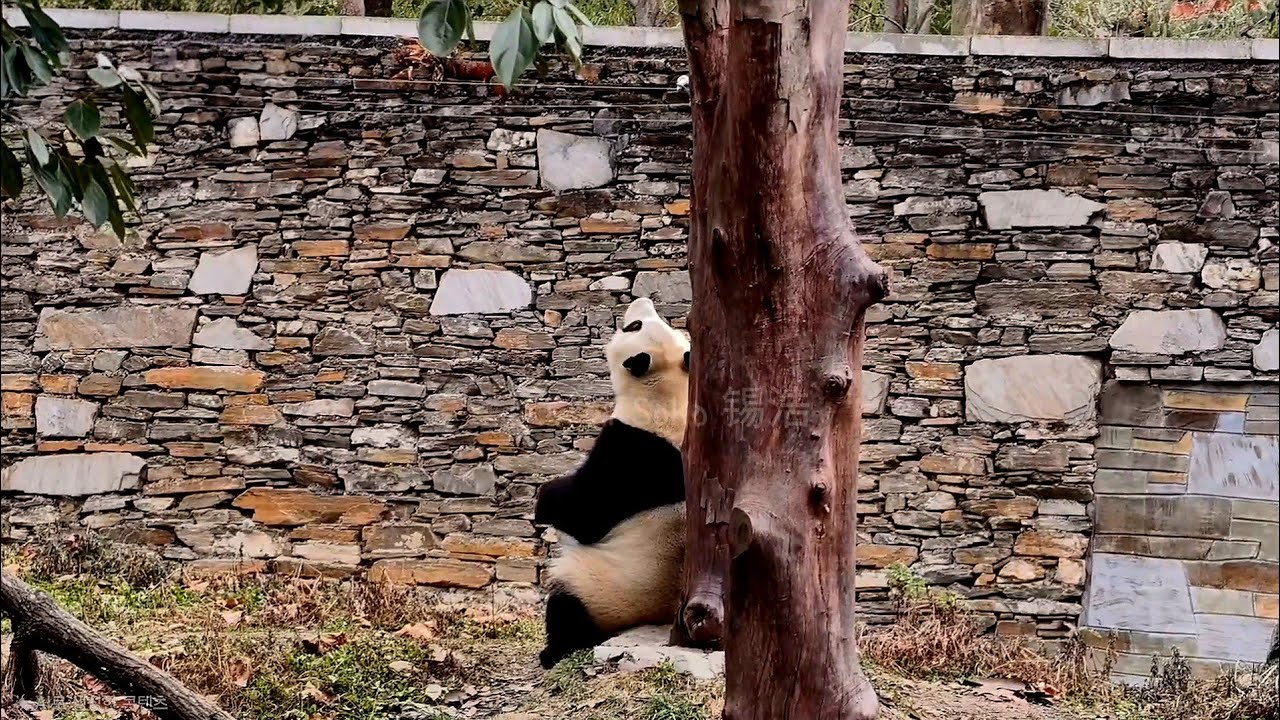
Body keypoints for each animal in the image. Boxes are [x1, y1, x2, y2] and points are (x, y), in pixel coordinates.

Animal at [533, 297, 690, 669]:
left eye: (634, 327)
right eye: (646, 320)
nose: (642, 300)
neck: (667, 393)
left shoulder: (631, 453)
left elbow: (584, 512)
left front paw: (545, 497)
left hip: (602, 588)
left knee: (566, 604)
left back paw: (554, 650)